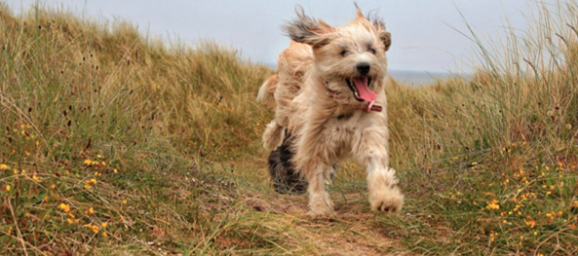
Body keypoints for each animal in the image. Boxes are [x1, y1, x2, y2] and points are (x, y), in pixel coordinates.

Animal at [256, 6, 400, 215]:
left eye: (372, 49)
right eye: (343, 52)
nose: (364, 66)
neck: (345, 104)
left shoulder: (369, 131)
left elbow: (376, 162)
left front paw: (385, 198)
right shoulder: (314, 137)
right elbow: (315, 172)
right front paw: (320, 206)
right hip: (286, 98)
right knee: (280, 120)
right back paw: (271, 138)